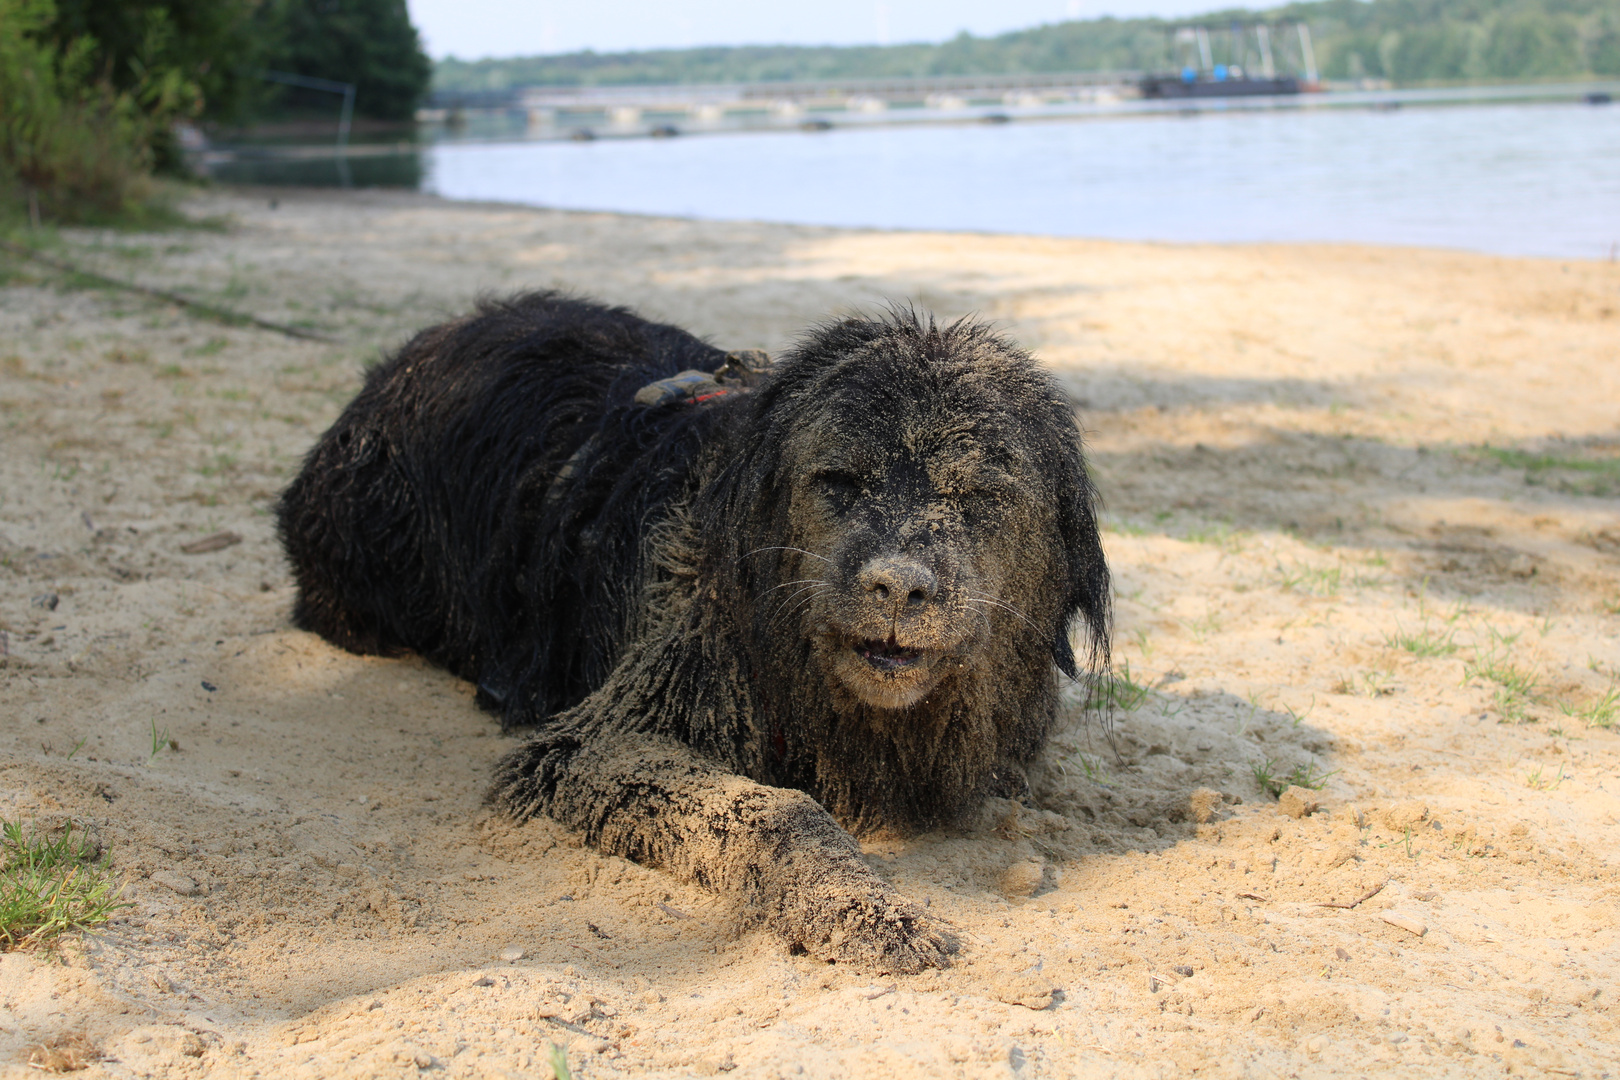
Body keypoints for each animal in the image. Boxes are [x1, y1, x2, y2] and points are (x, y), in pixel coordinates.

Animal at [281, 291, 1114, 977]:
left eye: (978, 495)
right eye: (839, 481)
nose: (898, 586)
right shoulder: (600, 739)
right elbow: (778, 809)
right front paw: (865, 912)